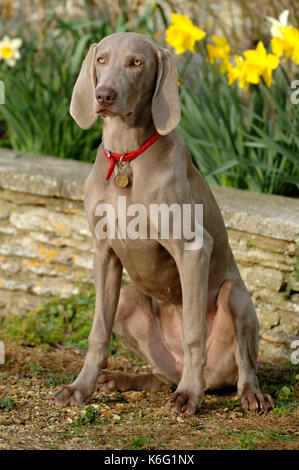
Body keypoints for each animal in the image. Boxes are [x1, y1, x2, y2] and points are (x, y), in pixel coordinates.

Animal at [50, 33, 276, 414]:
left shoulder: (193, 249)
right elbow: (98, 333)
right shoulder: (104, 252)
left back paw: (238, 393)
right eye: (101, 59)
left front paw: (189, 396)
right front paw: (80, 388)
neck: (127, 157)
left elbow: (194, 333)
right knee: (159, 375)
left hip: (236, 298)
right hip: (129, 300)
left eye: (136, 63)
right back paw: (124, 380)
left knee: (244, 365)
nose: (104, 95)